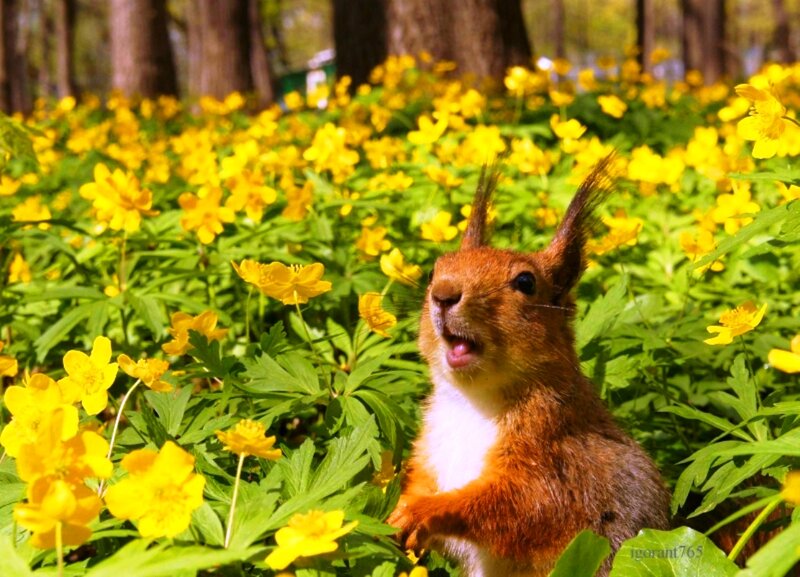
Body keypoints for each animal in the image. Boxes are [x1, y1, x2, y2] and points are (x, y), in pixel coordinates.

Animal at [388, 155, 671, 577]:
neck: (472, 401)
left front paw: (422, 511)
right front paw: (399, 509)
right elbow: (421, 480)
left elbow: (523, 507)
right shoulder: (431, 450)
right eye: (434, 269)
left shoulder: (558, 463)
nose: (443, 294)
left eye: (525, 282)